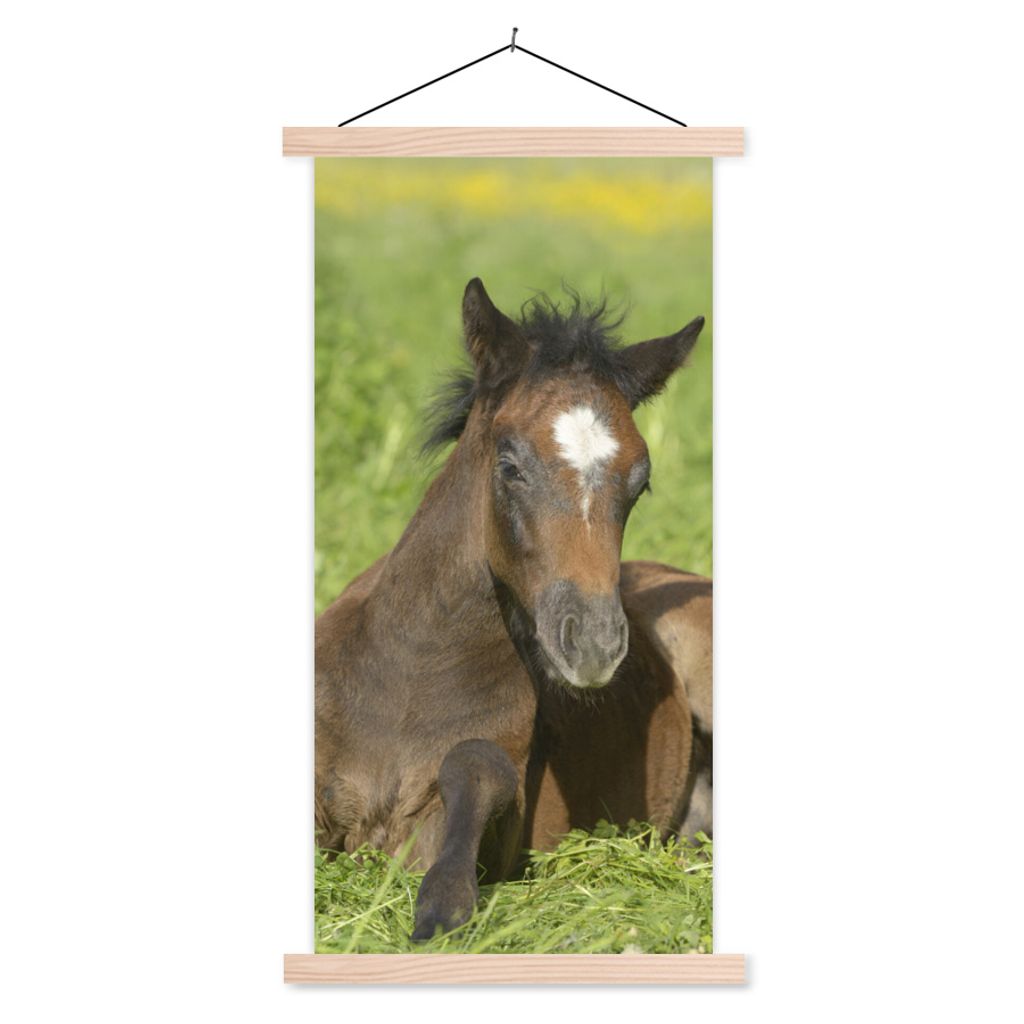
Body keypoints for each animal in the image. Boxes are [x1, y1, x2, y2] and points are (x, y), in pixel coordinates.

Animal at [315, 278, 712, 940]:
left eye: (640, 483)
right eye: (510, 466)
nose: (594, 645)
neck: (411, 673)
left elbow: (478, 763)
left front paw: (443, 907)